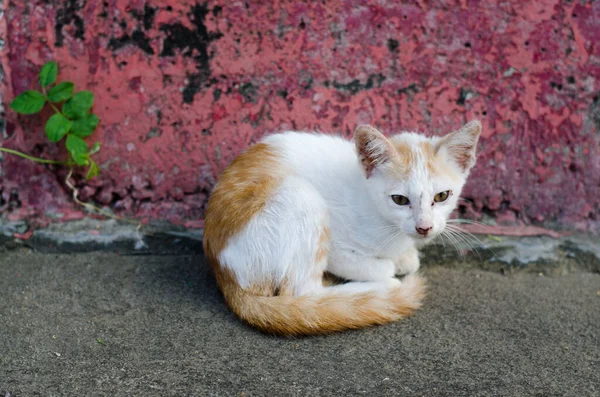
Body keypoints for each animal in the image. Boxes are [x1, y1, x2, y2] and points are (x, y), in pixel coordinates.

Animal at [205, 120, 482, 334]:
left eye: (442, 196)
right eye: (400, 200)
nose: (424, 227)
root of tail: (222, 271)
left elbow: (410, 260)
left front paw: (405, 256)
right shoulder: (338, 250)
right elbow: (378, 265)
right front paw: (388, 269)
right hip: (300, 195)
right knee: (302, 292)